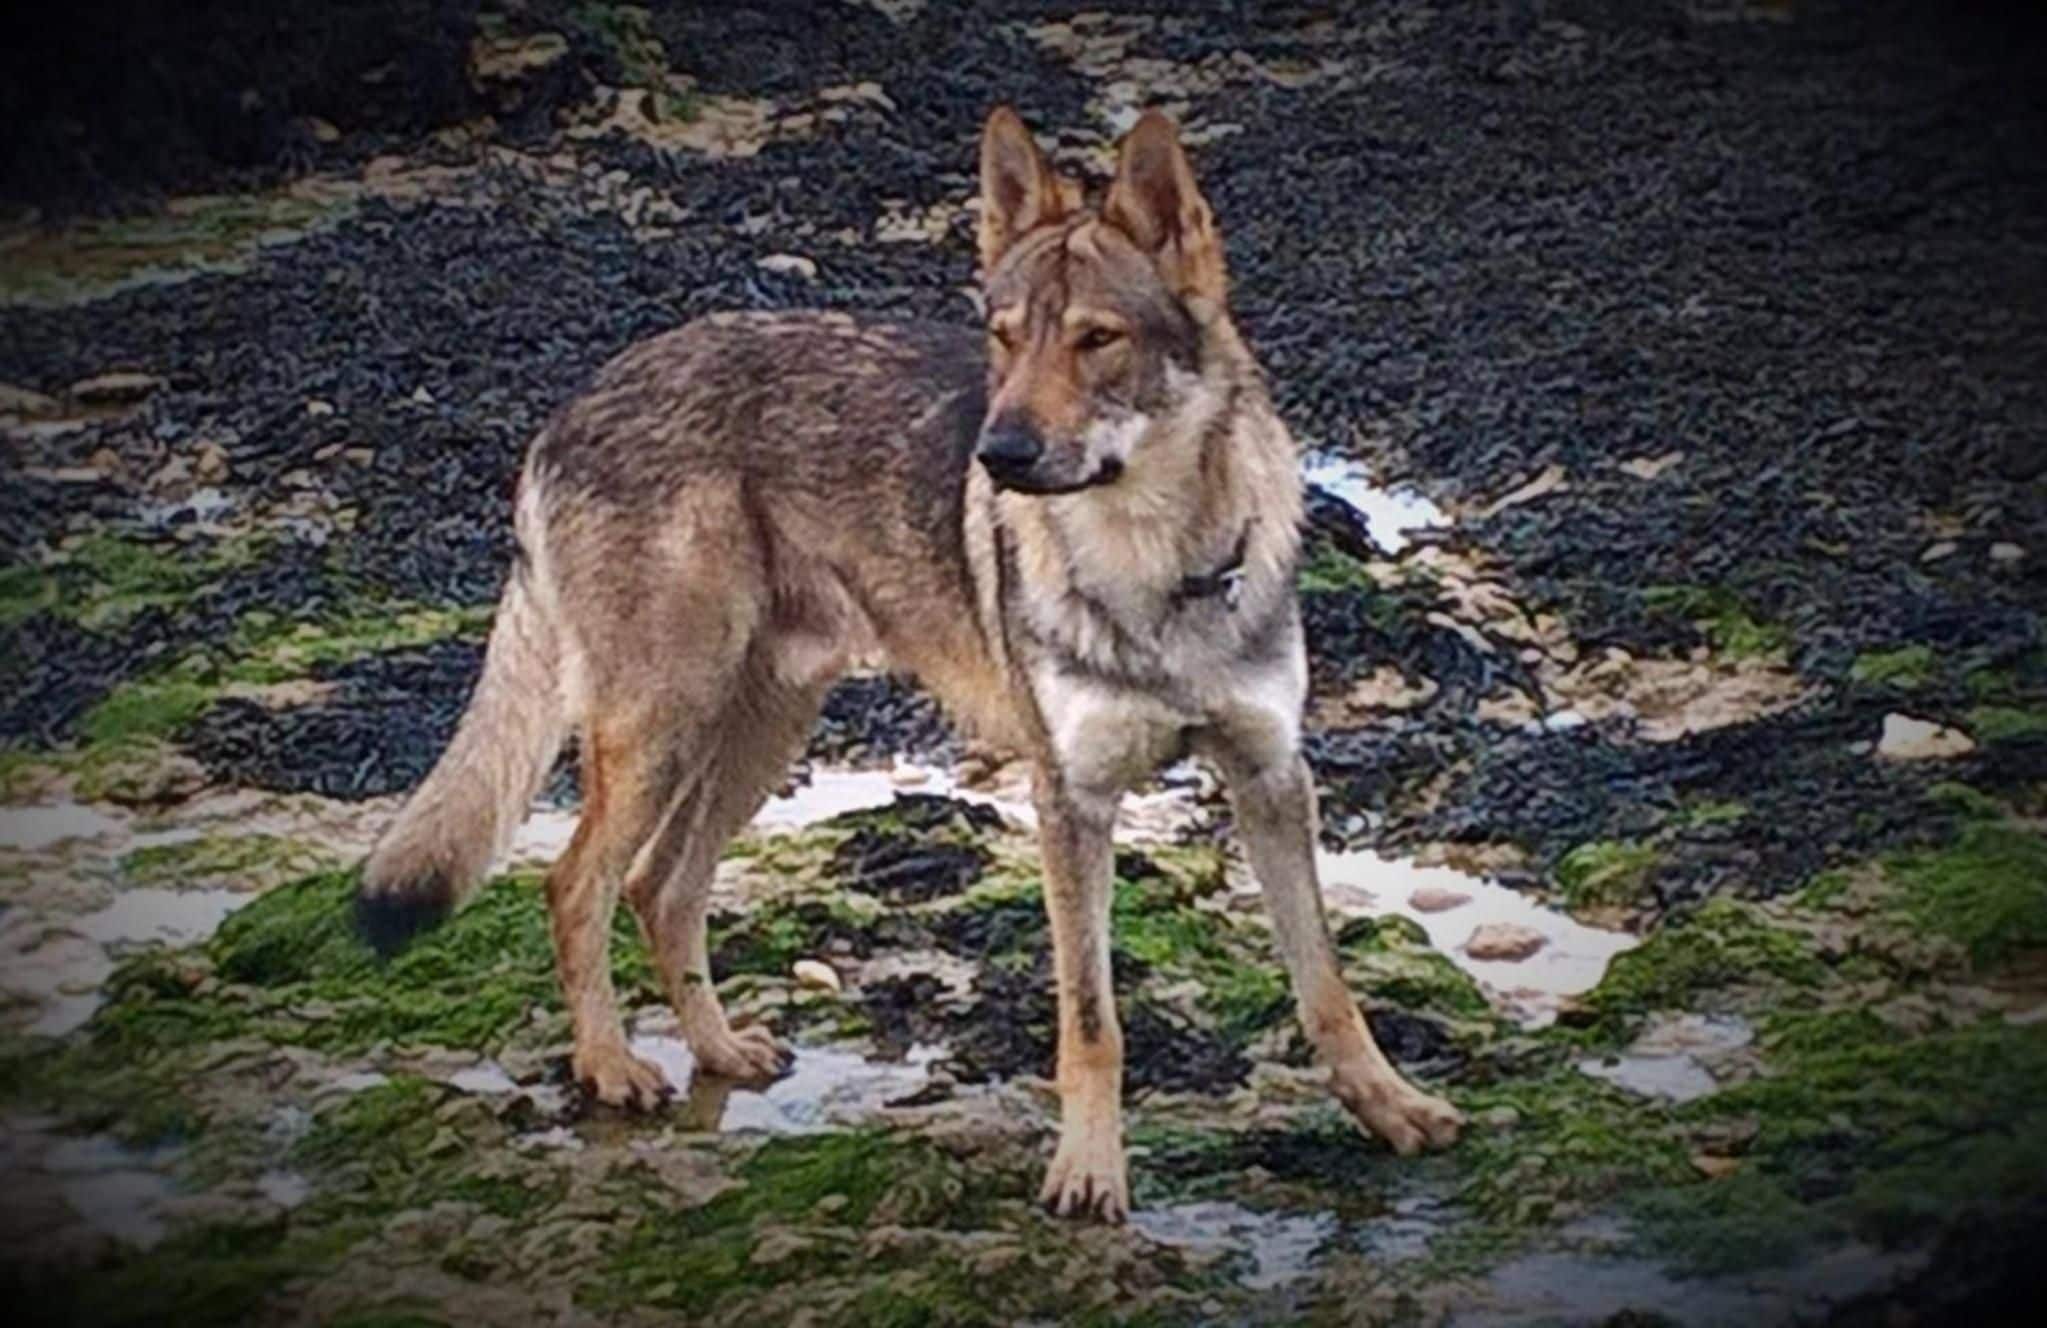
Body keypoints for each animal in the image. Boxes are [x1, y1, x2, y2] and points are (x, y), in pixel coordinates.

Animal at [355, 107, 1462, 1220]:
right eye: (1004, 337)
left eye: (1095, 339)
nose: (997, 454)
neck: (1157, 569)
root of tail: (568, 404)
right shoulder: (1069, 802)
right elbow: (1092, 1021)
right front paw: (1087, 1172)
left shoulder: (1271, 778)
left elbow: (1325, 984)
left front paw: (1390, 1108)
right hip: (664, 727)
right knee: (575, 884)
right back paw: (609, 1068)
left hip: (761, 732)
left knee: (660, 889)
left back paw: (719, 1049)